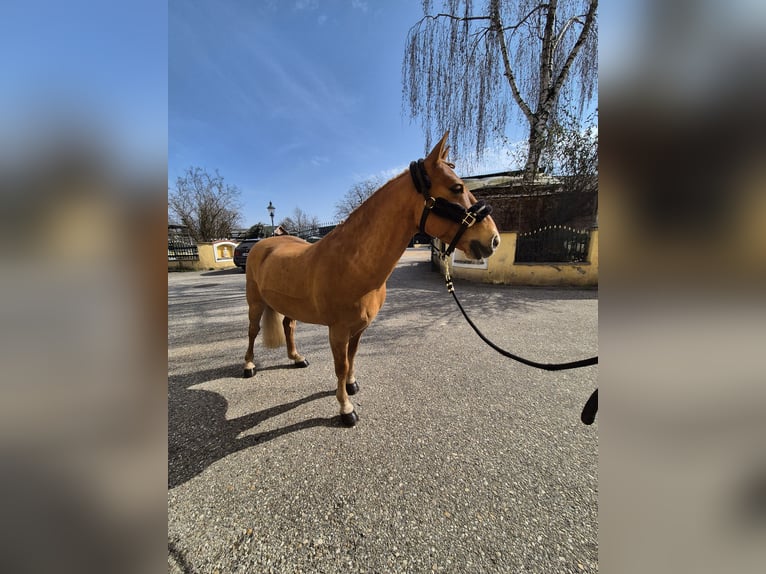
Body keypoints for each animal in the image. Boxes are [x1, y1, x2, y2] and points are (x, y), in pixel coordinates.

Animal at [242, 132, 500, 426]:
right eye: (457, 187)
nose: (493, 240)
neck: (353, 264)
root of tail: (263, 244)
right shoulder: (338, 331)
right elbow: (340, 366)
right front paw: (345, 408)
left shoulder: (359, 328)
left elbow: (352, 359)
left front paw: (351, 385)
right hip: (255, 303)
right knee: (252, 331)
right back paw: (249, 365)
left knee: (288, 326)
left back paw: (296, 358)